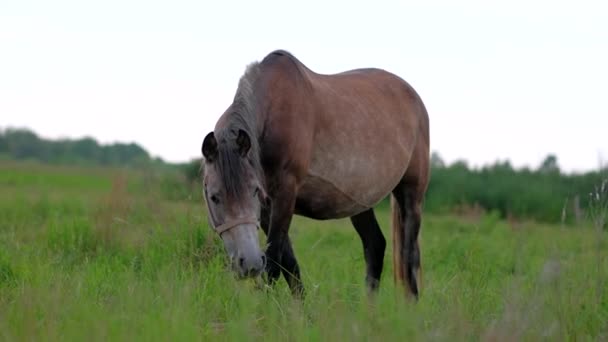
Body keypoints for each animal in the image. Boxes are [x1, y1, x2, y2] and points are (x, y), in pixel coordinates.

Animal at [200, 49, 428, 298]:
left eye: (253, 191)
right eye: (214, 197)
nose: (249, 264)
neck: (273, 114)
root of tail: (414, 98)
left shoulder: (284, 195)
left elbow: (274, 263)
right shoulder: (267, 208)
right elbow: (289, 264)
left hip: (411, 194)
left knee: (410, 257)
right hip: (360, 201)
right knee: (375, 246)